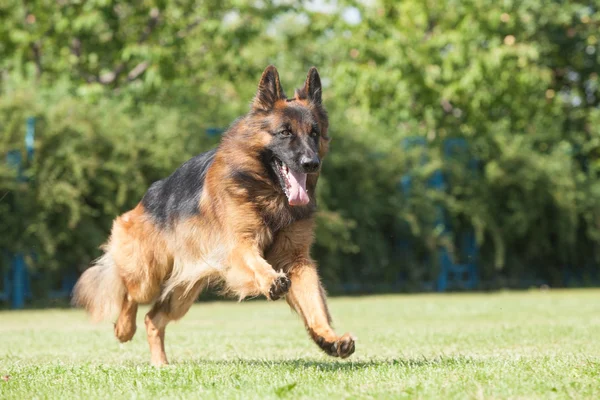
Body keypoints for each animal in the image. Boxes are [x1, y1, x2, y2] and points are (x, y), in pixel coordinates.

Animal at [75, 65, 356, 366]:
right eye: (285, 132)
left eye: (314, 133)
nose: (311, 163)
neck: (268, 193)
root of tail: (144, 200)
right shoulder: (239, 245)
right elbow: (255, 264)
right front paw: (270, 280)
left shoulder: (296, 261)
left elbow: (315, 304)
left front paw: (329, 338)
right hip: (147, 276)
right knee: (130, 293)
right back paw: (124, 328)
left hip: (184, 290)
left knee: (153, 318)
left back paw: (160, 365)